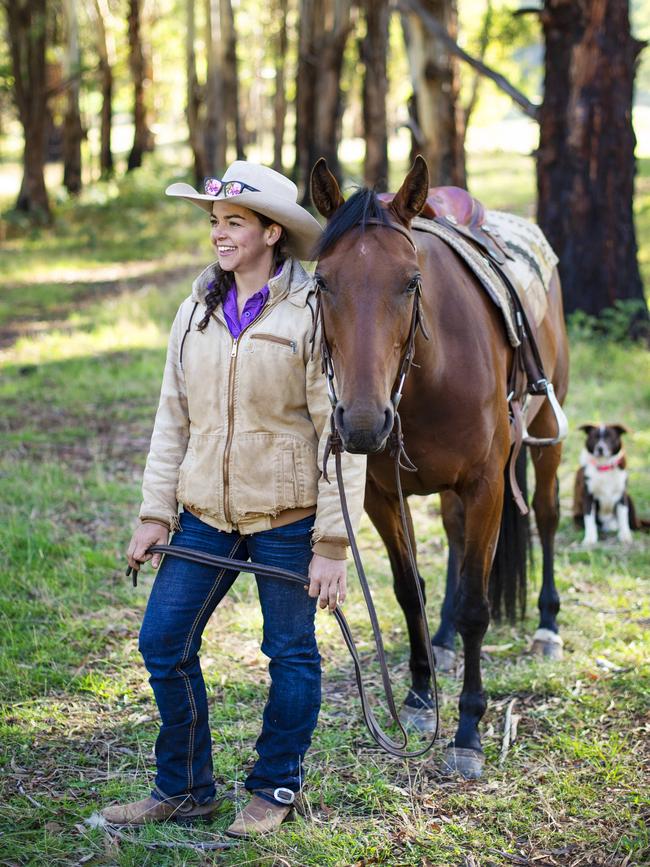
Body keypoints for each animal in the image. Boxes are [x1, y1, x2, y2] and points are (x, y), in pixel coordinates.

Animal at [308, 156, 568, 780]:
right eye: (322, 281)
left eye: (411, 281)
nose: (361, 421)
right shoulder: (381, 495)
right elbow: (409, 591)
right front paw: (421, 697)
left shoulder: (486, 487)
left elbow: (477, 604)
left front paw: (469, 730)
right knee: (451, 536)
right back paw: (443, 640)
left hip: (546, 429)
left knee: (547, 517)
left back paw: (547, 626)